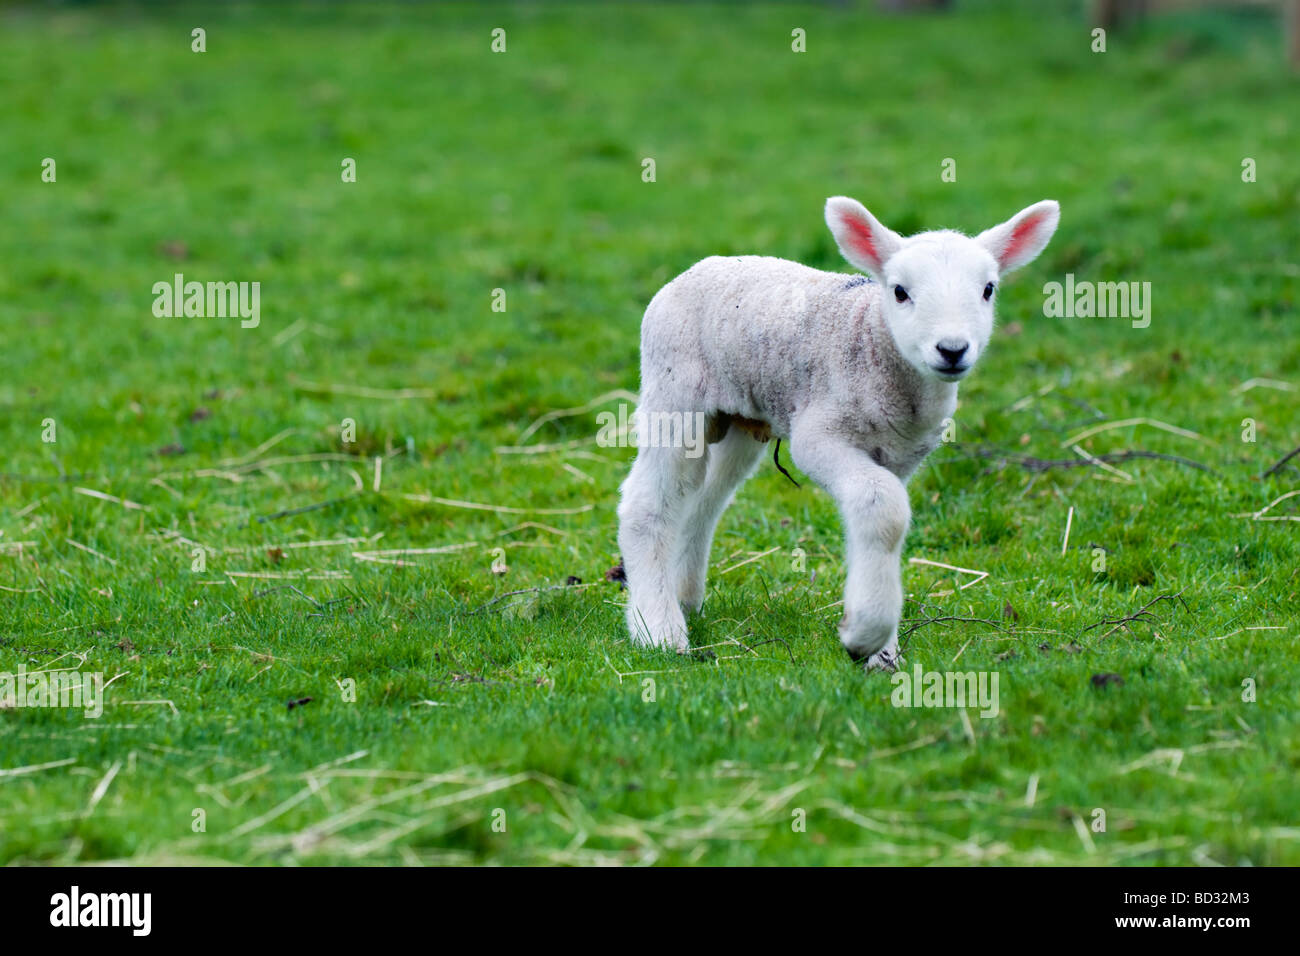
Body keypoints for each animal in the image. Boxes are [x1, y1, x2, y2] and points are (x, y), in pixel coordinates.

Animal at [616, 195, 1055, 671]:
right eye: (900, 292)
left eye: (988, 289)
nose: (952, 350)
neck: (871, 339)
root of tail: (696, 269)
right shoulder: (820, 435)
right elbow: (884, 507)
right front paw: (865, 635)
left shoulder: (899, 455)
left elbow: (878, 519)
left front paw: (882, 653)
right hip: (673, 391)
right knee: (647, 501)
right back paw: (657, 628)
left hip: (740, 417)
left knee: (703, 500)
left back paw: (684, 597)